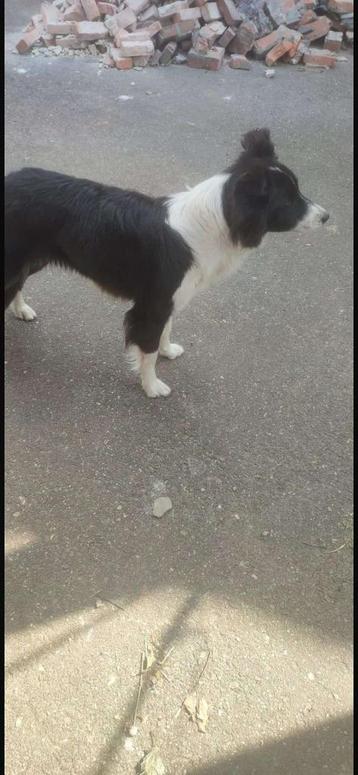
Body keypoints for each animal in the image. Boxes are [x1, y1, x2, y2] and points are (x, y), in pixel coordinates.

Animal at [5, 128, 330, 400]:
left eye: (298, 190)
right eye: (288, 201)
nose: (327, 216)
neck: (217, 223)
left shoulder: (169, 297)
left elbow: (166, 330)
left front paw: (167, 350)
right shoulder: (152, 304)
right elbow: (147, 348)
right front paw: (151, 386)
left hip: (32, 258)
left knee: (19, 282)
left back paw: (21, 309)